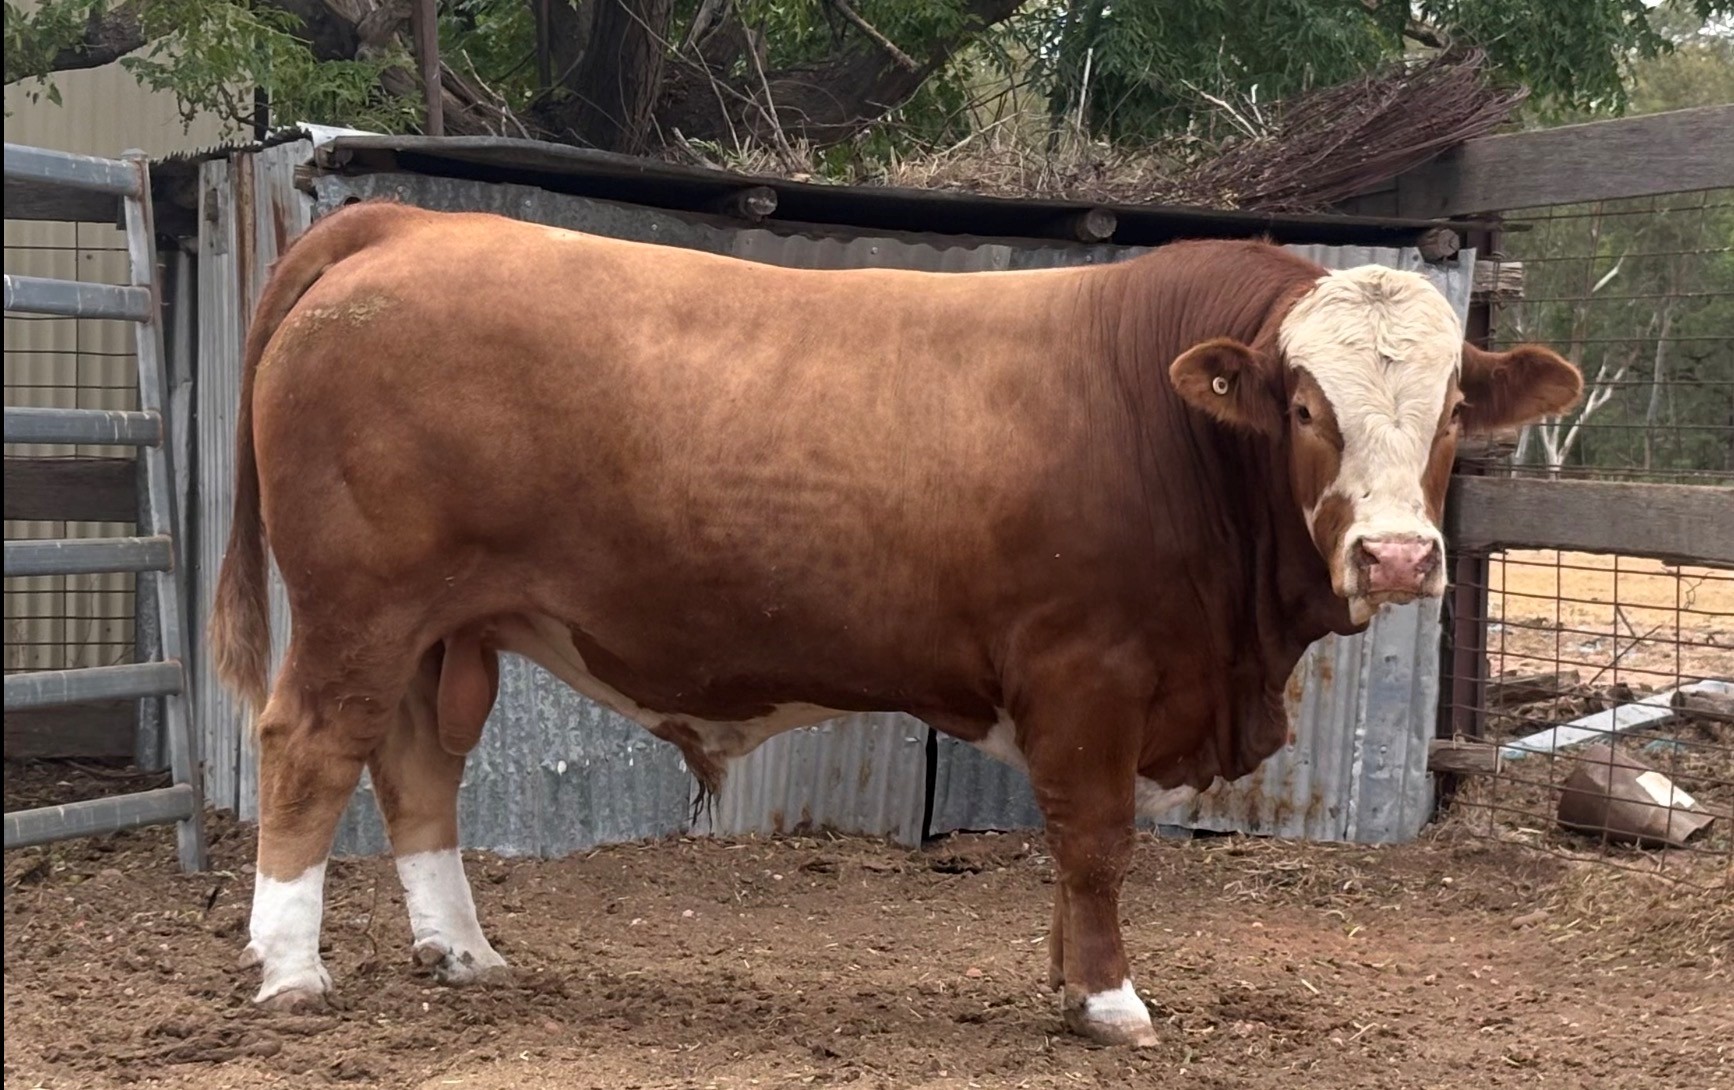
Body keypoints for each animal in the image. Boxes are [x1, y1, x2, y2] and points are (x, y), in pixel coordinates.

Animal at [210, 200, 1581, 1047]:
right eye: (1303, 404)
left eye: (1457, 405)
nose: (1398, 555)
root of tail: (410, 223)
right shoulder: (1086, 671)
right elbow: (1097, 842)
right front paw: (1110, 1002)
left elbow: (1073, 852)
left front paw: (1064, 985)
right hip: (357, 607)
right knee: (308, 749)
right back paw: (289, 970)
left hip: (443, 628)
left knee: (415, 766)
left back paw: (462, 952)